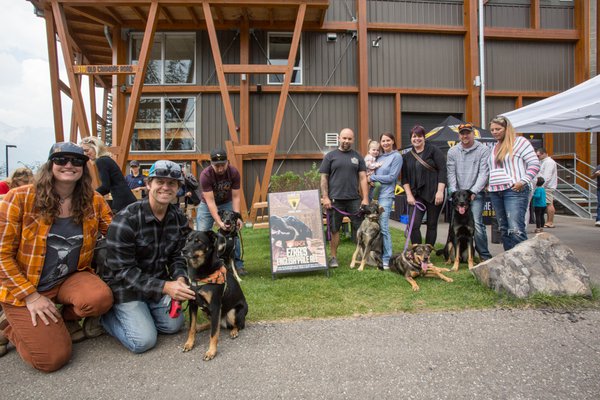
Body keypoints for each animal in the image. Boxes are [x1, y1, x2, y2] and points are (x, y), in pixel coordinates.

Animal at [183, 230, 248, 360]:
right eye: (188, 240)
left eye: (198, 241)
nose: (183, 250)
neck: (200, 274)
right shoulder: (193, 304)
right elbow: (191, 327)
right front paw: (189, 343)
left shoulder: (215, 306)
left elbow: (214, 333)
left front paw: (211, 352)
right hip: (206, 311)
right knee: (213, 324)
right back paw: (200, 327)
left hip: (232, 312)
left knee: (238, 325)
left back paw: (234, 331)